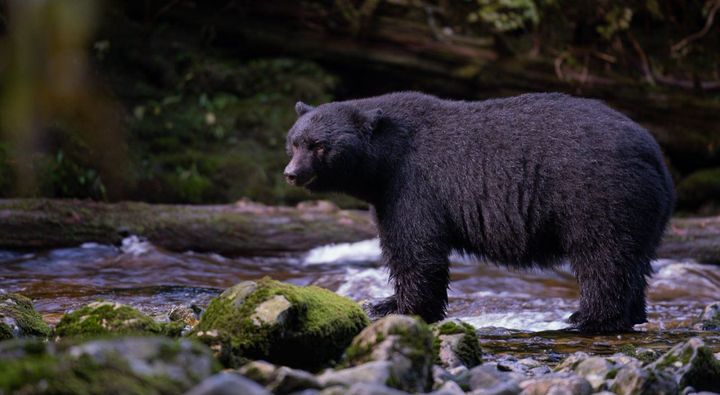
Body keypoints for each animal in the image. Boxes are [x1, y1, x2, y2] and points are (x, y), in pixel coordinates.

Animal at [282, 91, 676, 332]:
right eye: (294, 142)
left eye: (319, 146)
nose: (291, 173)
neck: (386, 160)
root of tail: (653, 151)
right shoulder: (387, 192)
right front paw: (383, 302)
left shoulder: (413, 185)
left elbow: (416, 249)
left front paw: (400, 306)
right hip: (644, 208)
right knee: (634, 260)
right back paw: (632, 314)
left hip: (598, 194)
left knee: (603, 256)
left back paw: (587, 317)